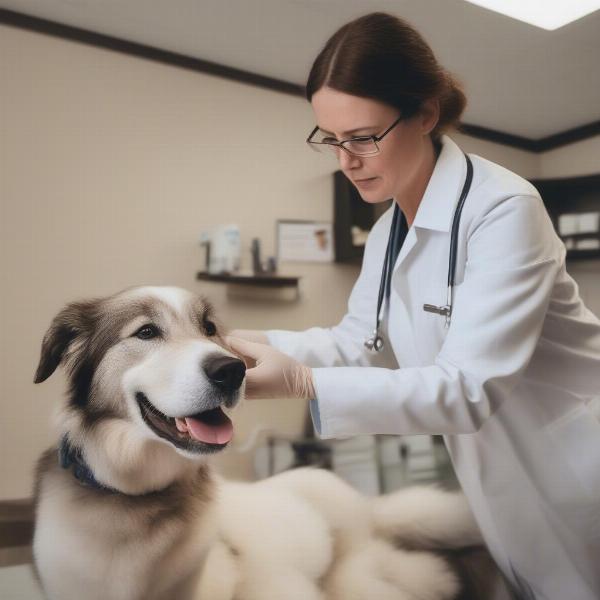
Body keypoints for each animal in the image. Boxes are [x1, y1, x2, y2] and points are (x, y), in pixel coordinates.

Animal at [32, 284, 502, 600]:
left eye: (209, 328)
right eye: (146, 332)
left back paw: (440, 577)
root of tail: (365, 507)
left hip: (351, 565)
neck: (139, 499)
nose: (231, 369)